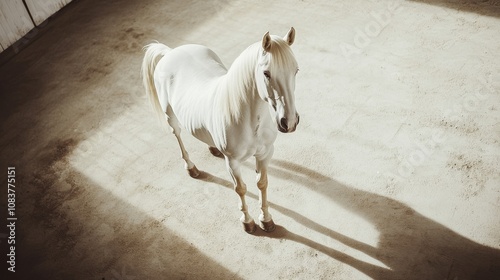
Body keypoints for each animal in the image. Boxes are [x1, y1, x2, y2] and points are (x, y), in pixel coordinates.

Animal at [141, 27, 298, 234]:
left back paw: (212, 148)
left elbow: (262, 184)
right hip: (171, 117)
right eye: (266, 73)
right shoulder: (232, 162)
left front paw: (266, 219)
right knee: (178, 136)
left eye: (296, 70)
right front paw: (248, 222)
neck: (249, 120)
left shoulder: (265, 154)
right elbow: (241, 189)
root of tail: (170, 52)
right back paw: (191, 168)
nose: (289, 122)